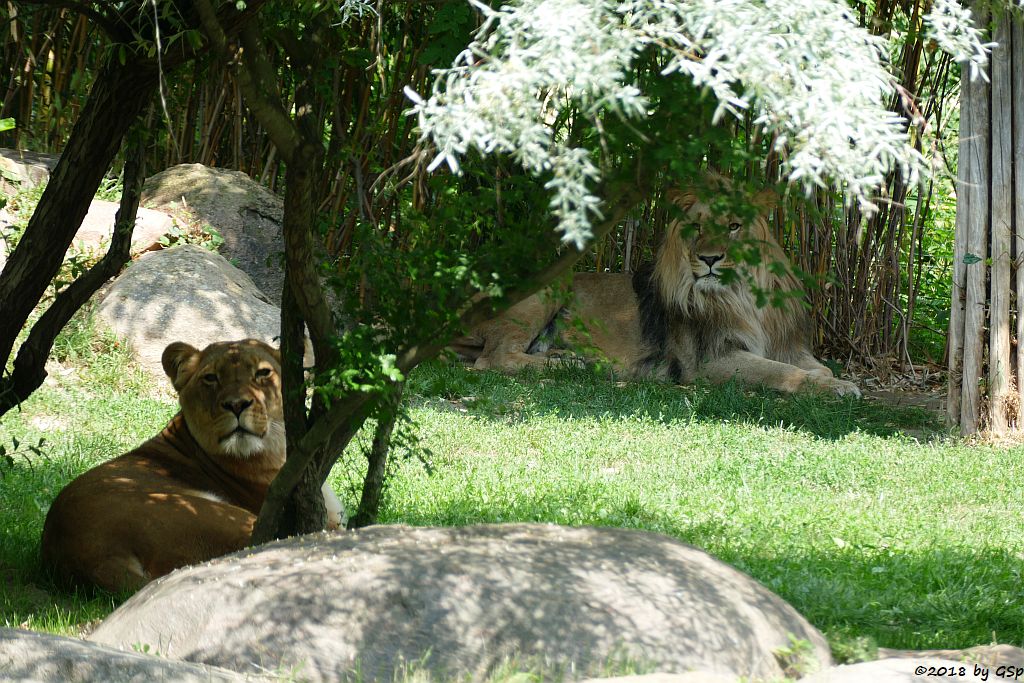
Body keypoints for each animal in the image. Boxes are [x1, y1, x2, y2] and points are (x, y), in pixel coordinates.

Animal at [452, 187, 860, 397]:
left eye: (733, 226)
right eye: (696, 226)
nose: (708, 259)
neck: (743, 295)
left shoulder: (786, 345)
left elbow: (813, 365)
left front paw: (835, 379)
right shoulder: (711, 361)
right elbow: (780, 373)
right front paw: (834, 387)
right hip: (554, 283)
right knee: (493, 359)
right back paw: (569, 363)